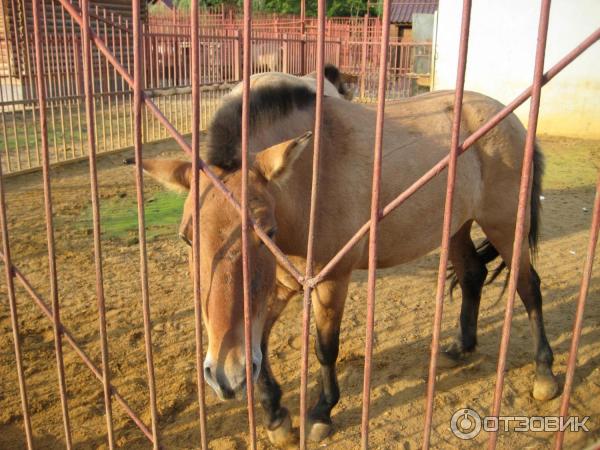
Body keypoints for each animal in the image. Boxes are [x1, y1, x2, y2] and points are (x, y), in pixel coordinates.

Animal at [138, 81, 560, 446]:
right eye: (187, 237)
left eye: (267, 232)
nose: (225, 376)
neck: (307, 182)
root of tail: (512, 121)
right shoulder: (281, 286)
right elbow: (258, 342)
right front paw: (276, 416)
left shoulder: (331, 280)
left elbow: (325, 347)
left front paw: (320, 413)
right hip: (456, 226)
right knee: (473, 275)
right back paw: (459, 348)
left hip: (506, 225)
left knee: (529, 287)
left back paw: (545, 374)